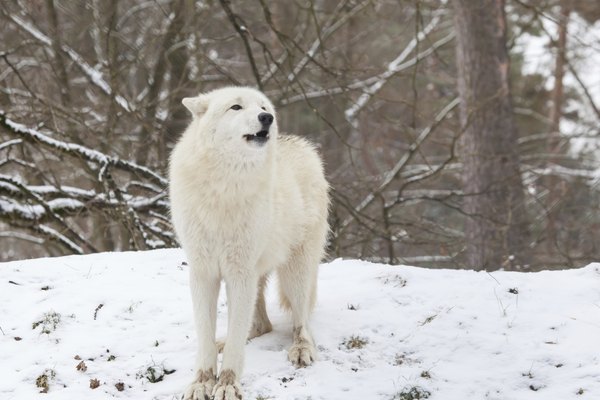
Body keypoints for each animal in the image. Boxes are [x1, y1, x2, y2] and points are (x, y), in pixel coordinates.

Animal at [168, 86, 328, 398]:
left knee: (301, 320)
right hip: (258, 274)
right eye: (236, 107)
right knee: (259, 326)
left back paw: (302, 349)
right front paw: (202, 382)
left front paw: (228, 385)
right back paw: (226, 341)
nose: (267, 118)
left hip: (294, 272)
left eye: (263, 107)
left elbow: (235, 341)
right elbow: (206, 334)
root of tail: (304, 147)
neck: (225, 185)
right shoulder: (203, 271)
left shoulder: (239, 272)